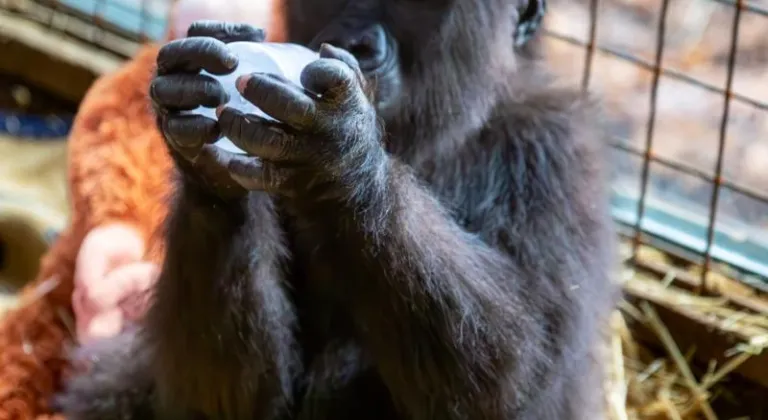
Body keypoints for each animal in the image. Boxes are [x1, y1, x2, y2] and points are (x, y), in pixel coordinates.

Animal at [54, 0, 620, 418]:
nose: (355, 43)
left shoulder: (556, 154)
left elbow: (515, 382)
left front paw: (343, 156)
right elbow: (224, 397)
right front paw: (202, 167)